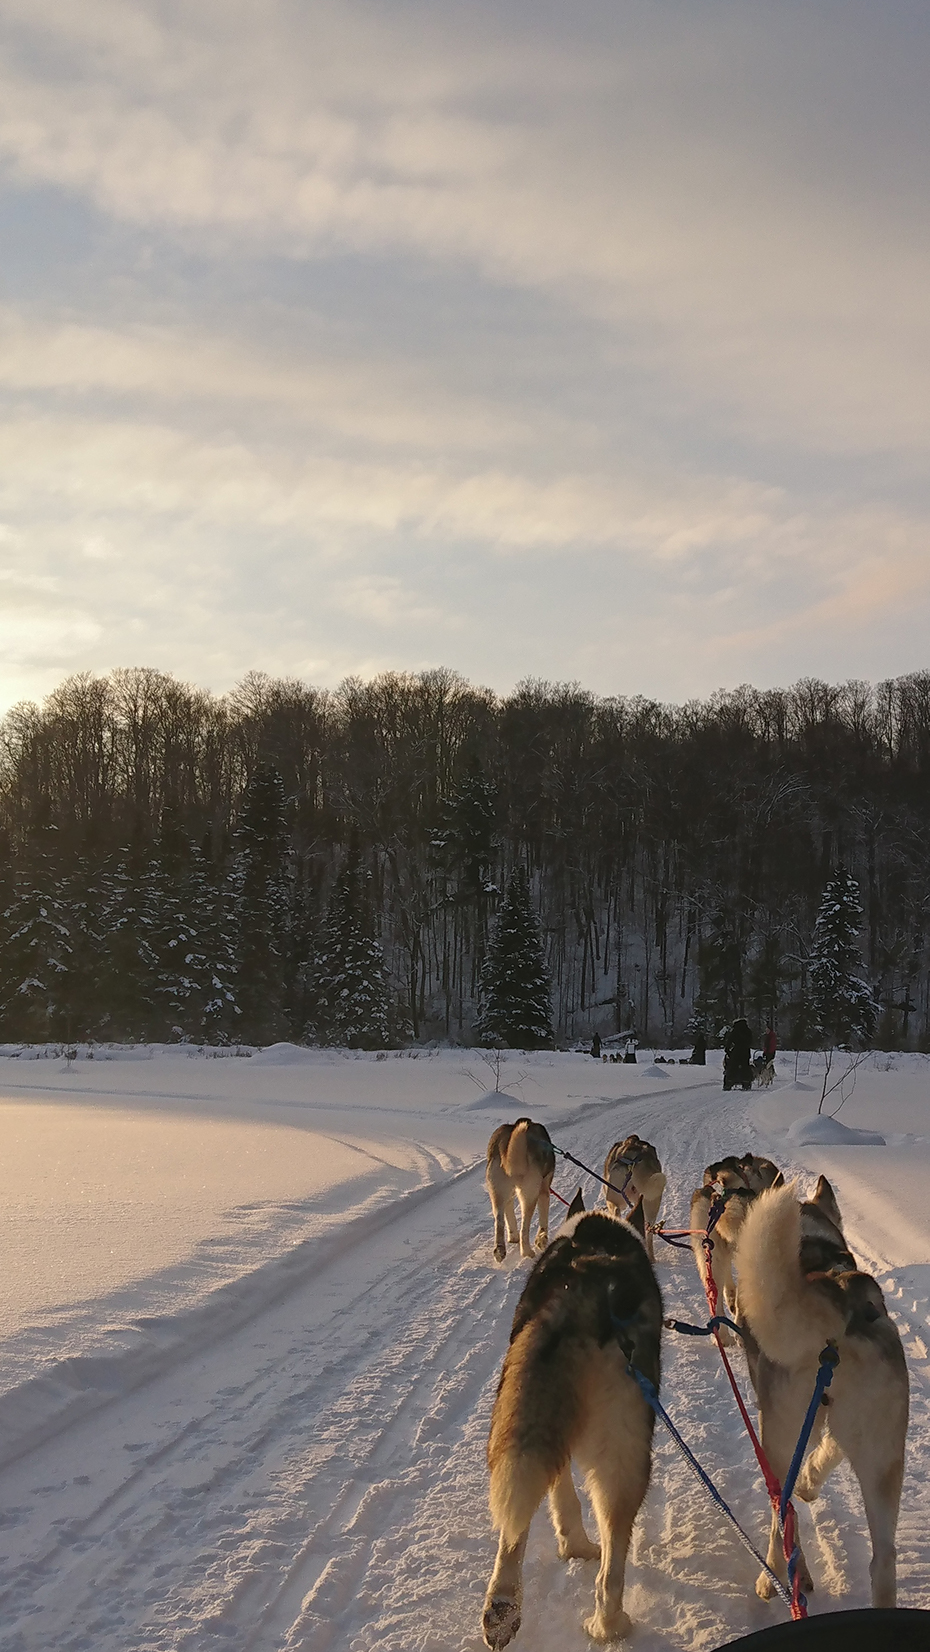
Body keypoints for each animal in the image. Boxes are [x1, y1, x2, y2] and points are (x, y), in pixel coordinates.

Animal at [479, 1196, 660, 1645]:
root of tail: (582, 1294)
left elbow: (561, 1495)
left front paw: (572, 1543)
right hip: (623, 1448)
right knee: (611, 1563)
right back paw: (610, 1626)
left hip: (532, 1420)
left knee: (518, 1526)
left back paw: (503, 1609)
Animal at [488, 1123, 561, 1262]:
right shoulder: (543, 1191)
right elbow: (543, 1220)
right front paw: (542, 1239)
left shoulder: (509, 1196)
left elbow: (509, 1215)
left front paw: (513, 1236)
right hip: (529, 1196)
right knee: (524, 1228)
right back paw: (527, 1252)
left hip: (498, 1193)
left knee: (499, 1222)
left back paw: (500, 1250)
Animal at [740, 1182, 905, 1605]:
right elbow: (829, 1451)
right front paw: (812, 1481)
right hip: (883, 1458)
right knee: (883, 1559)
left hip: (779, 1440)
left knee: (782, 1514)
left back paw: (772, 1576)